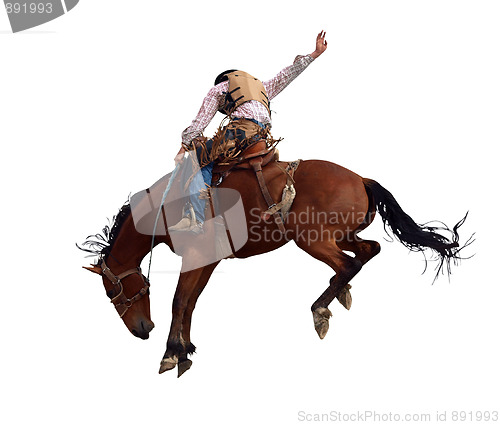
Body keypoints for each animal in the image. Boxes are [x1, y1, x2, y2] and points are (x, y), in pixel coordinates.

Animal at [79, 160, 468, 378]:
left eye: (113, 293)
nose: (143, 330)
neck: (166, 206)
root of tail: (360, 178)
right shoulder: (207, 260)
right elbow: (190, 302)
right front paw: (185, 349)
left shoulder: (195, 256)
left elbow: (178, 301)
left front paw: (171, 352)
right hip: (340, 234)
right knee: (368, 251)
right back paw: (336, 294)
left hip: (310, 237)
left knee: (349, 263)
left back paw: (321, 308)